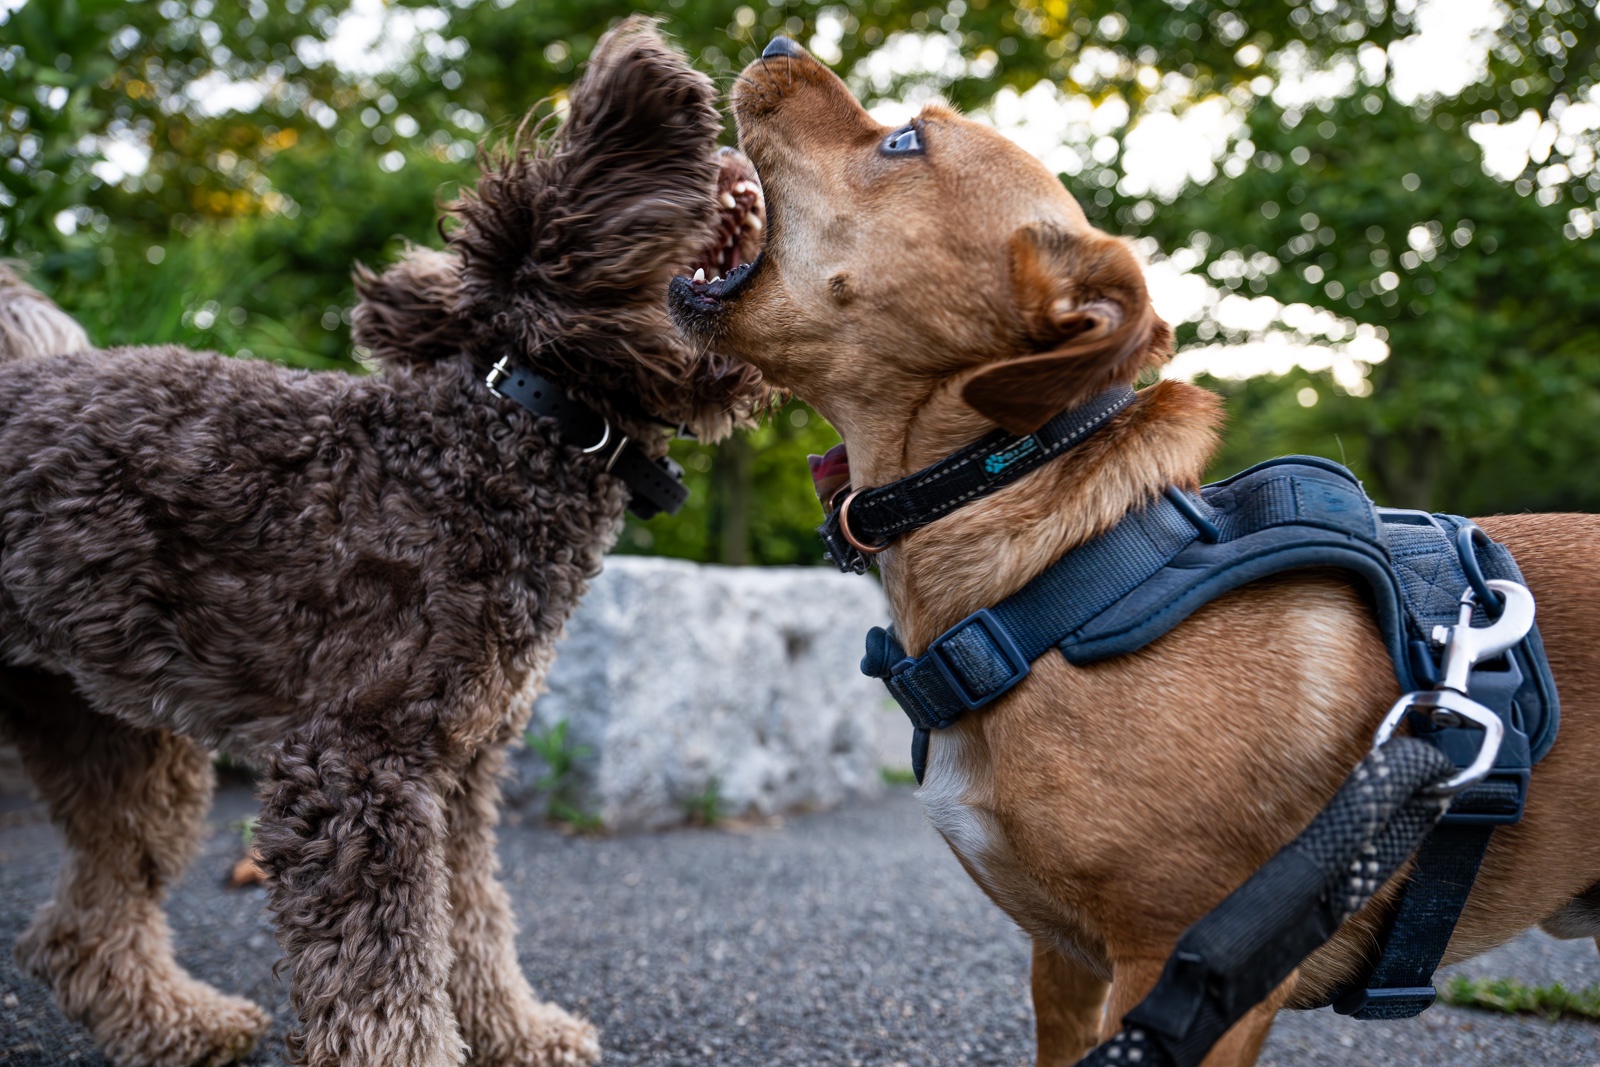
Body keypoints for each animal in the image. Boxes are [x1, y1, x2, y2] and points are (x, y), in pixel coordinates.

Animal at [0, 22, 768, 1067]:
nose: (651, 63)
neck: (514, 425)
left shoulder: (458, 769)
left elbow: (472, 917)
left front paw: (515, 1028)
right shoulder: (358, 762)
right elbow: (388, 975)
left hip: (108, 725)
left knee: (82, 922)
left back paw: (181, 1022)